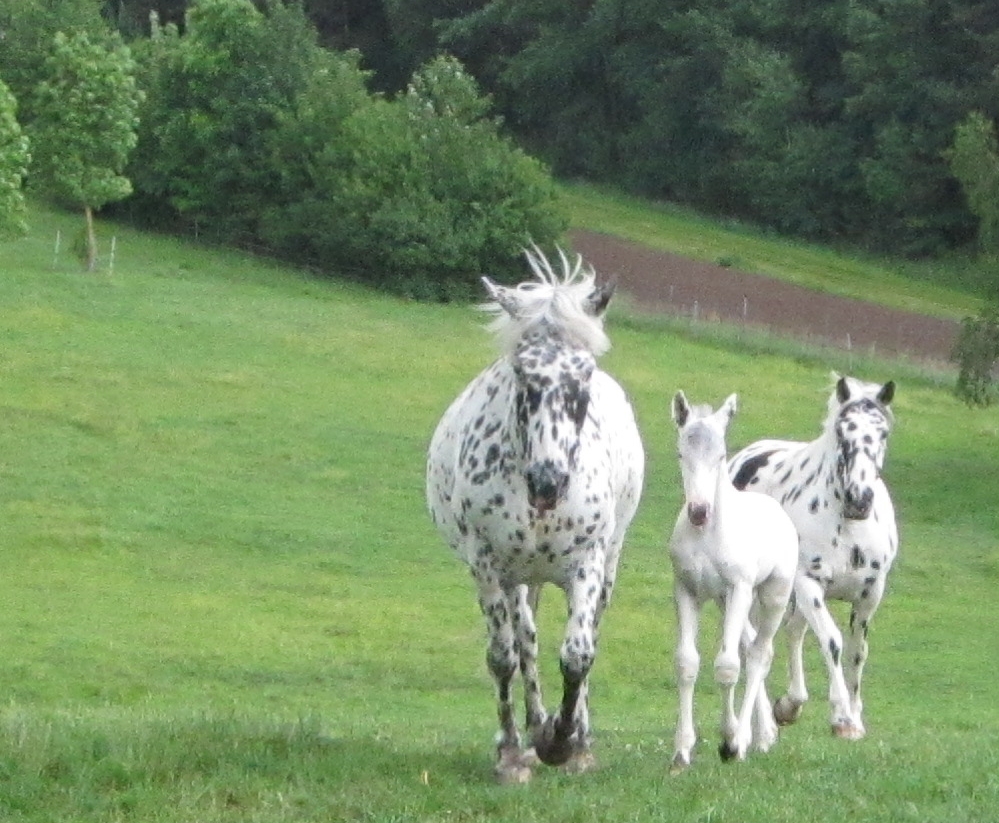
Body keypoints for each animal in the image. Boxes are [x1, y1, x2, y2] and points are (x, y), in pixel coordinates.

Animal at [424, 246, 644, 784]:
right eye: (524, 374)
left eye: (583, 374)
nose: (549, 481)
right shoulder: (487, 566)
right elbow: (503, 657)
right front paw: (511, 753)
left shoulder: (587, 564)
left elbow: (579, 655)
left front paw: (565, 744)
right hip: (517, 580)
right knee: (525, 643)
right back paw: (532, 728)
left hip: (602, 566)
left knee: (581, 637)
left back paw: (571, 735)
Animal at [668, 392, 800, 772]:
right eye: (681, 453)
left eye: (721, 455)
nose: (699, 511)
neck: (706, 535)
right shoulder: (686, 590)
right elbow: (687, 663)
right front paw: (682, 751)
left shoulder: (738, 588)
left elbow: (727, 667)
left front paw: (729, 742)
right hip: (725, 601)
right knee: (749, 644)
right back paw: (764, 734)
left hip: (771, 594)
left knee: (759, 654)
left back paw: (745, 740)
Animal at [728, 374, 900, 740]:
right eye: (842, 431)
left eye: (882, 433)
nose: (859, 499)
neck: (849, 527)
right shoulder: (809, 583)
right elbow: (832, 641)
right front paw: (842, 718)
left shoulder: (870, 594)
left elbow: (857, 651)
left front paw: (855, 717)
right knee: (756, 645)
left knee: (793, 631)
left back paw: (790, 705)